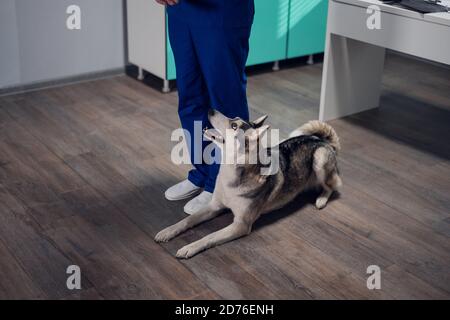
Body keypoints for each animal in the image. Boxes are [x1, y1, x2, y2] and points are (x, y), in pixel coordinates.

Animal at [155, 109, 342, 258]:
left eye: (234, 126)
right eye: (234, 118)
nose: (209, 109)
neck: (231, 173)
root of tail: (322, 140)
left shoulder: (240, 225)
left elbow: (209, 237)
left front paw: (189, 247)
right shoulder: (214, 206)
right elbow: (187, 220)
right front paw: (167, 231)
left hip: (319, 160)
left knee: (332, 186)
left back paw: (321, 199)